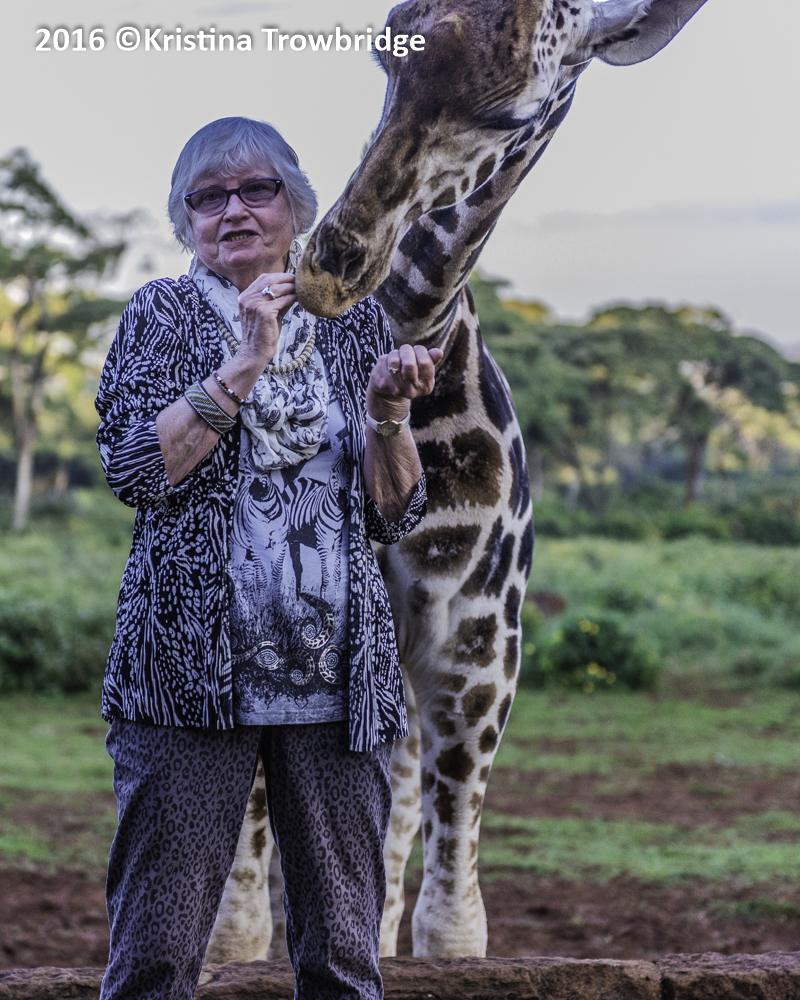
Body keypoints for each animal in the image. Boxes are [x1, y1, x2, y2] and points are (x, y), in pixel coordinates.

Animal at [206, 0, 709, 962]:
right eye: (384, 48)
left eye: (514, 111)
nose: (333, 263)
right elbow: (238, 919)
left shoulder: (479, 640)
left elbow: (449, 924)